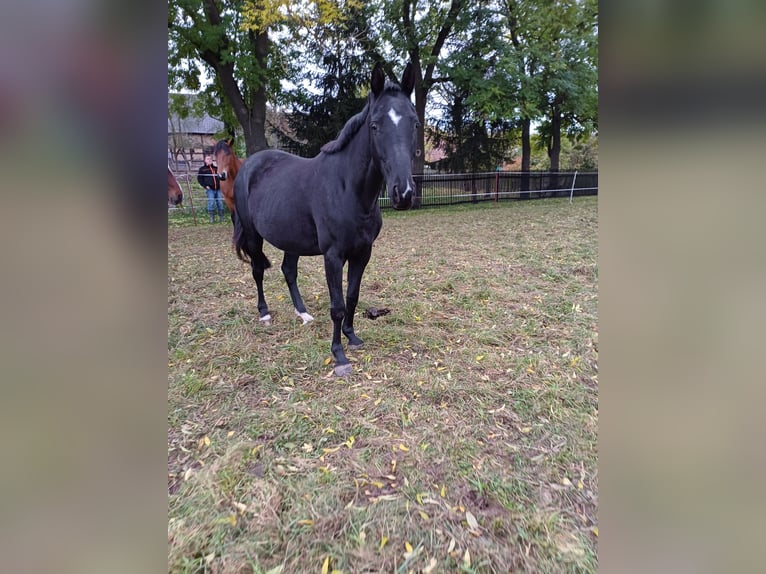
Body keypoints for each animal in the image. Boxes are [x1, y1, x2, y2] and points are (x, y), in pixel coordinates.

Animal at [234, 63, 420, 378]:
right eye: (375, 125)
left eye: (414, 123)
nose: (403, 193)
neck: (348, 189)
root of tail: (248, 166)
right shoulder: (333, 256)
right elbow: (337, 305)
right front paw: (339, 355)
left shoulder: (363, 253)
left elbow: (352, 296)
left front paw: (352, 337)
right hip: (252, 235)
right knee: (258, 270)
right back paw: (265, 313)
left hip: (291, 239)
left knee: (288, 271)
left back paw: (303, 313)